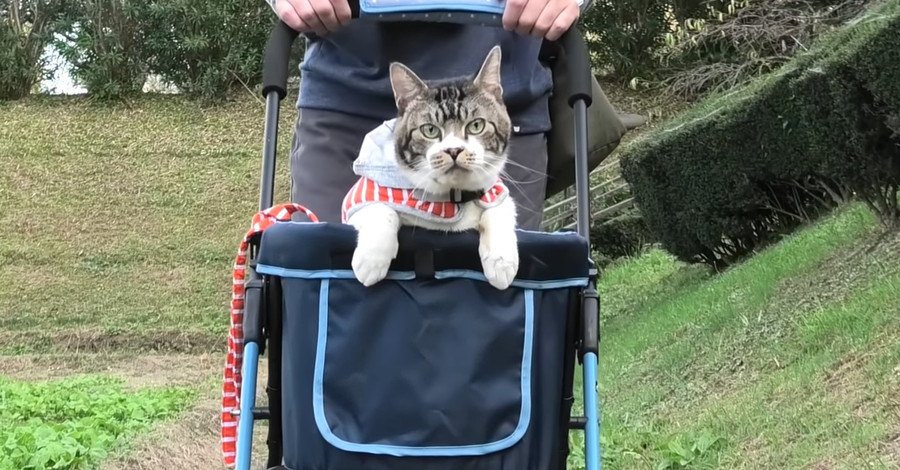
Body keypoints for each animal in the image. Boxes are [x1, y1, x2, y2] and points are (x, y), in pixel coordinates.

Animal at [340, 46, 520, 290]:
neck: (451, 198)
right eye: (430, 130)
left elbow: (499, 208)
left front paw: (502, 262)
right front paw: (371, 260)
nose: (454, 150)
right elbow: (379, 208)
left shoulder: (495, 190)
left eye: (477, 125)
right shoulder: (357, 199)